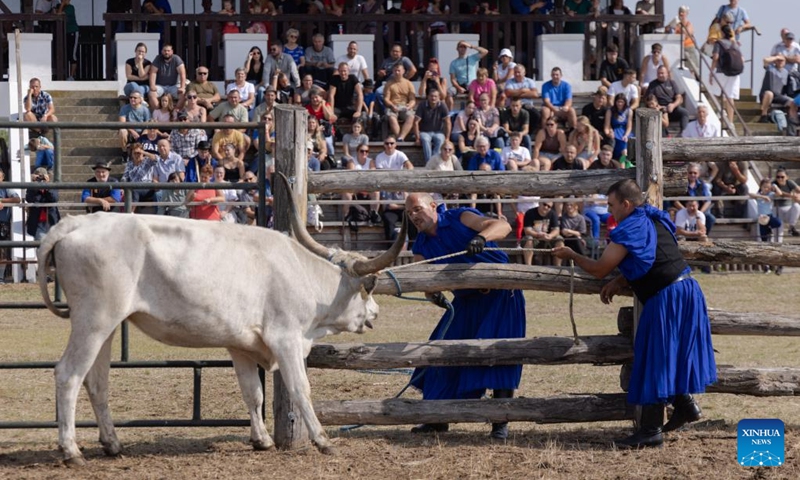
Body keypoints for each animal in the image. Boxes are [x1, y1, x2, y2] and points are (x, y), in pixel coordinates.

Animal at [37, 184, 406, 466]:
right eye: (368, 290)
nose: (374, 313)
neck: (302, 274)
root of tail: (75, 223)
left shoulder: (240, 344)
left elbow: (253, 393)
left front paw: (262, 440)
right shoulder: (286, 338)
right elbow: (301, 389)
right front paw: (322, 439)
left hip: (107, 326)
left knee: (96, 381)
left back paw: (112, 444)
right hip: (93, 320)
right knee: (68, 374)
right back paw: (71, 451)